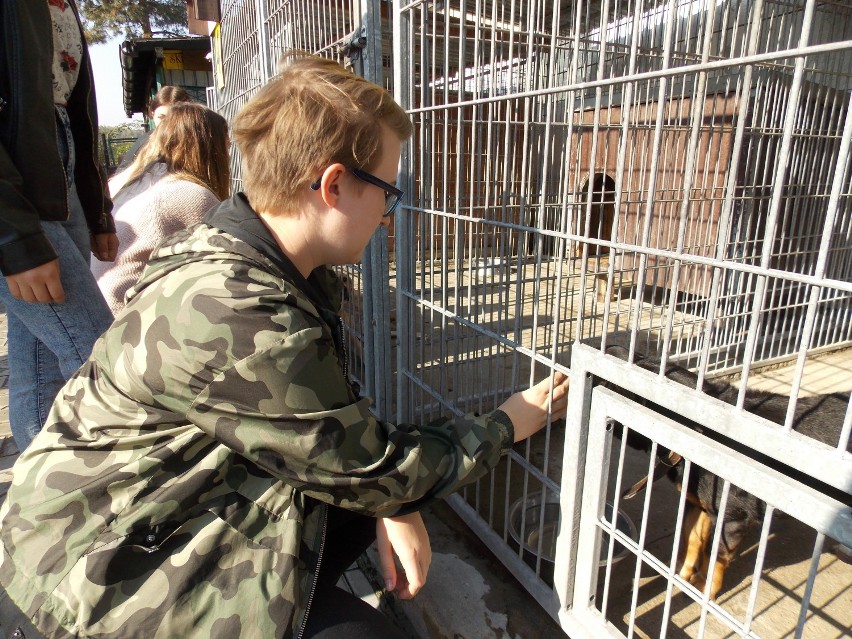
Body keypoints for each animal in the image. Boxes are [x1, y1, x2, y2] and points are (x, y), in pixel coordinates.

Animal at [604, 344, 848, 600]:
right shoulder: (699, 503)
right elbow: (692, 539)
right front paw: (681, 577)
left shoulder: (734, 516)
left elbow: (715, 552)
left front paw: (704, 592)